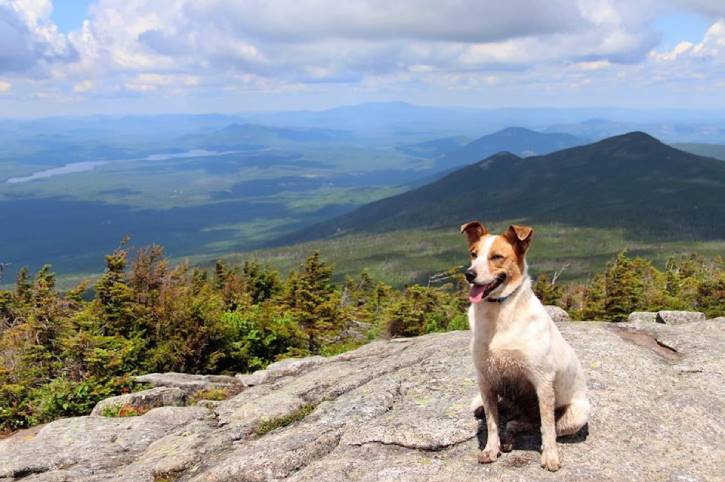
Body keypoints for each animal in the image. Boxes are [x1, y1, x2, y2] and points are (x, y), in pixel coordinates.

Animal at [460, 221, 592, 470]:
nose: (469, 274)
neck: (499, 314)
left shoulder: (542, 382)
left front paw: (550, 457)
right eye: (473, 254)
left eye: (497, 257)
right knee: (509, 418)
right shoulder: (486, 381)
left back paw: (513, 437)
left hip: (577, 414)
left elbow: (547, 427)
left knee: (536, 424)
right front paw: (490, 449)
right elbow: (492, 423)